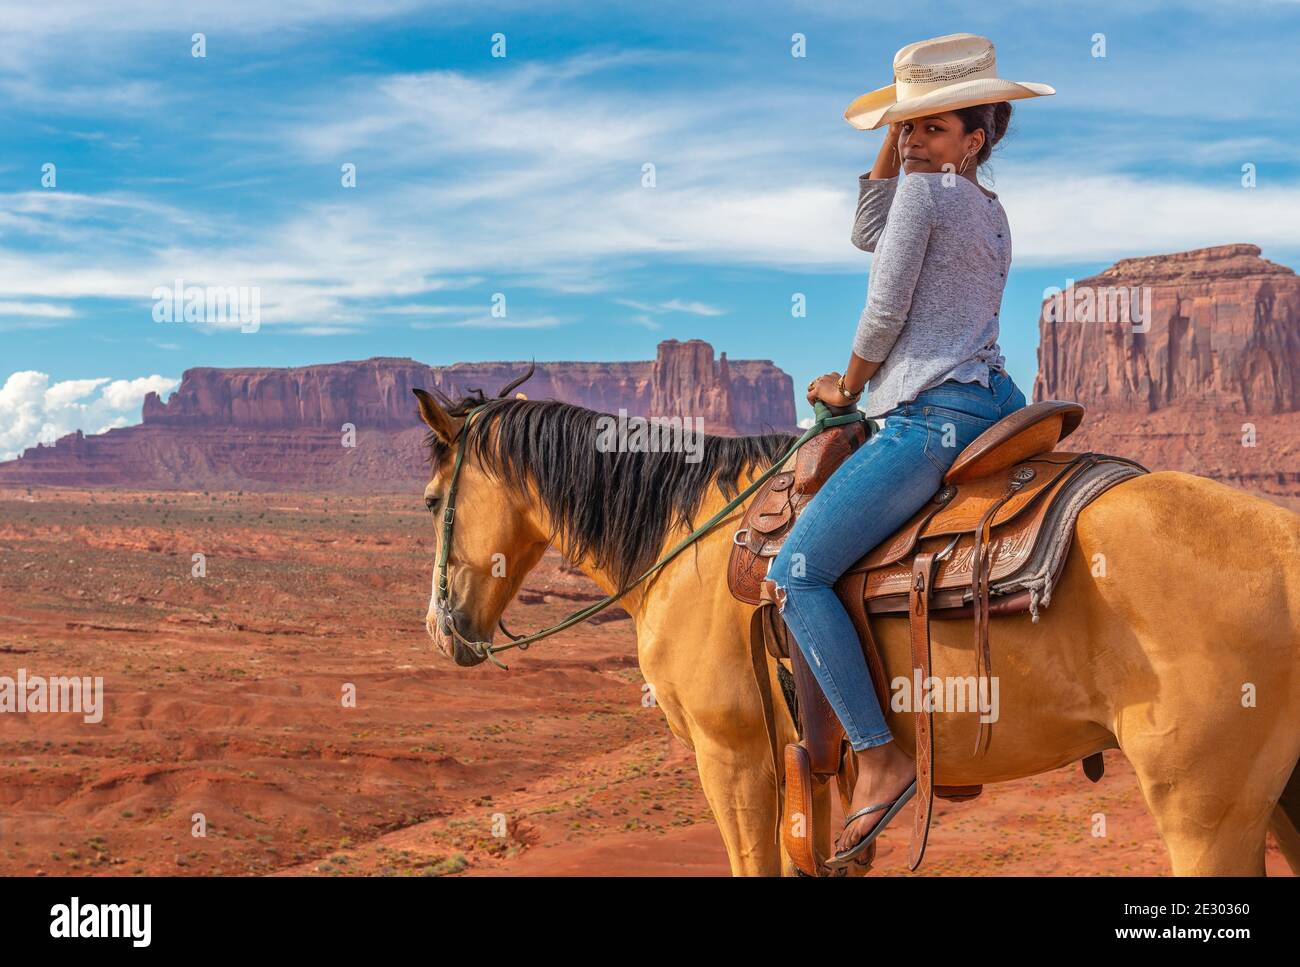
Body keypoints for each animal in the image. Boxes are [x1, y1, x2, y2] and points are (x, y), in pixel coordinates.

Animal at [410, 369, 1300, 878]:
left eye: (429, 501)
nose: (441, 628)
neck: (683, 541)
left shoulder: (734, 757)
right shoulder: (809, 763)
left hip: (1205, 812)